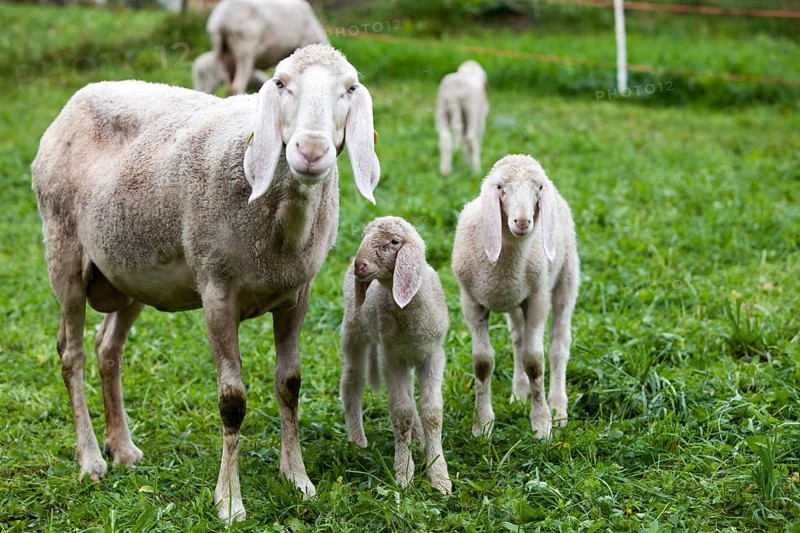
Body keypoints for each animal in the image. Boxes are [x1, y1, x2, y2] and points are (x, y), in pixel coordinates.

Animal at [30, 44, 380, 522]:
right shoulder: (217, 290)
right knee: (71, 352)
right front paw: (229, 501)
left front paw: (297, 479)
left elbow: (289, 385)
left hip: (129, 269)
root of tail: (78, 97)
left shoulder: (298, 294)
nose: (310, 150)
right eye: (280, 83)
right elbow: (232, 400)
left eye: (349, 88)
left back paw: (123, 448)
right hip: (63, 247)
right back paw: (90, 459)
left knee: (107, 349)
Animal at [340, 217, 452, 494]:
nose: (360, 266)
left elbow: (432, 412)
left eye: (394, 241)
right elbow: (402, 414)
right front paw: (404, 474)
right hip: (354, 332)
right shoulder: (390, 358)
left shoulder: (433, 355)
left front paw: (439, 474)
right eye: (364, 236)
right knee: (351, 383)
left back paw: (420, 441)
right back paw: (357, 441)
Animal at [451, 154, 579, 439]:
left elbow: (535, 362)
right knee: (518, 340)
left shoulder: (538, 298)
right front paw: (482, 425)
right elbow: (483, 363)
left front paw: (542, 424)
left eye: (539, 188)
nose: (522, 222)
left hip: (566, 279)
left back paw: (558, 408)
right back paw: (520, 395)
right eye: (500, 187)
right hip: (515, 301)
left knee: (558, 345)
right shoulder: (471, 302)